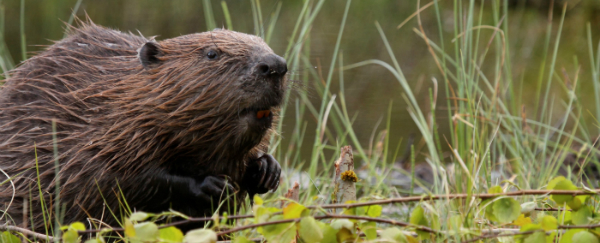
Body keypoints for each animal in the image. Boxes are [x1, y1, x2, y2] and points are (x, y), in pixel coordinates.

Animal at [0, 21, 288, 234]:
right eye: (212, 54)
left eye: (264, 44)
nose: (275, 66)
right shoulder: (96, 134)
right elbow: (115, 179)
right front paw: (212, 185)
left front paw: (267, 170)